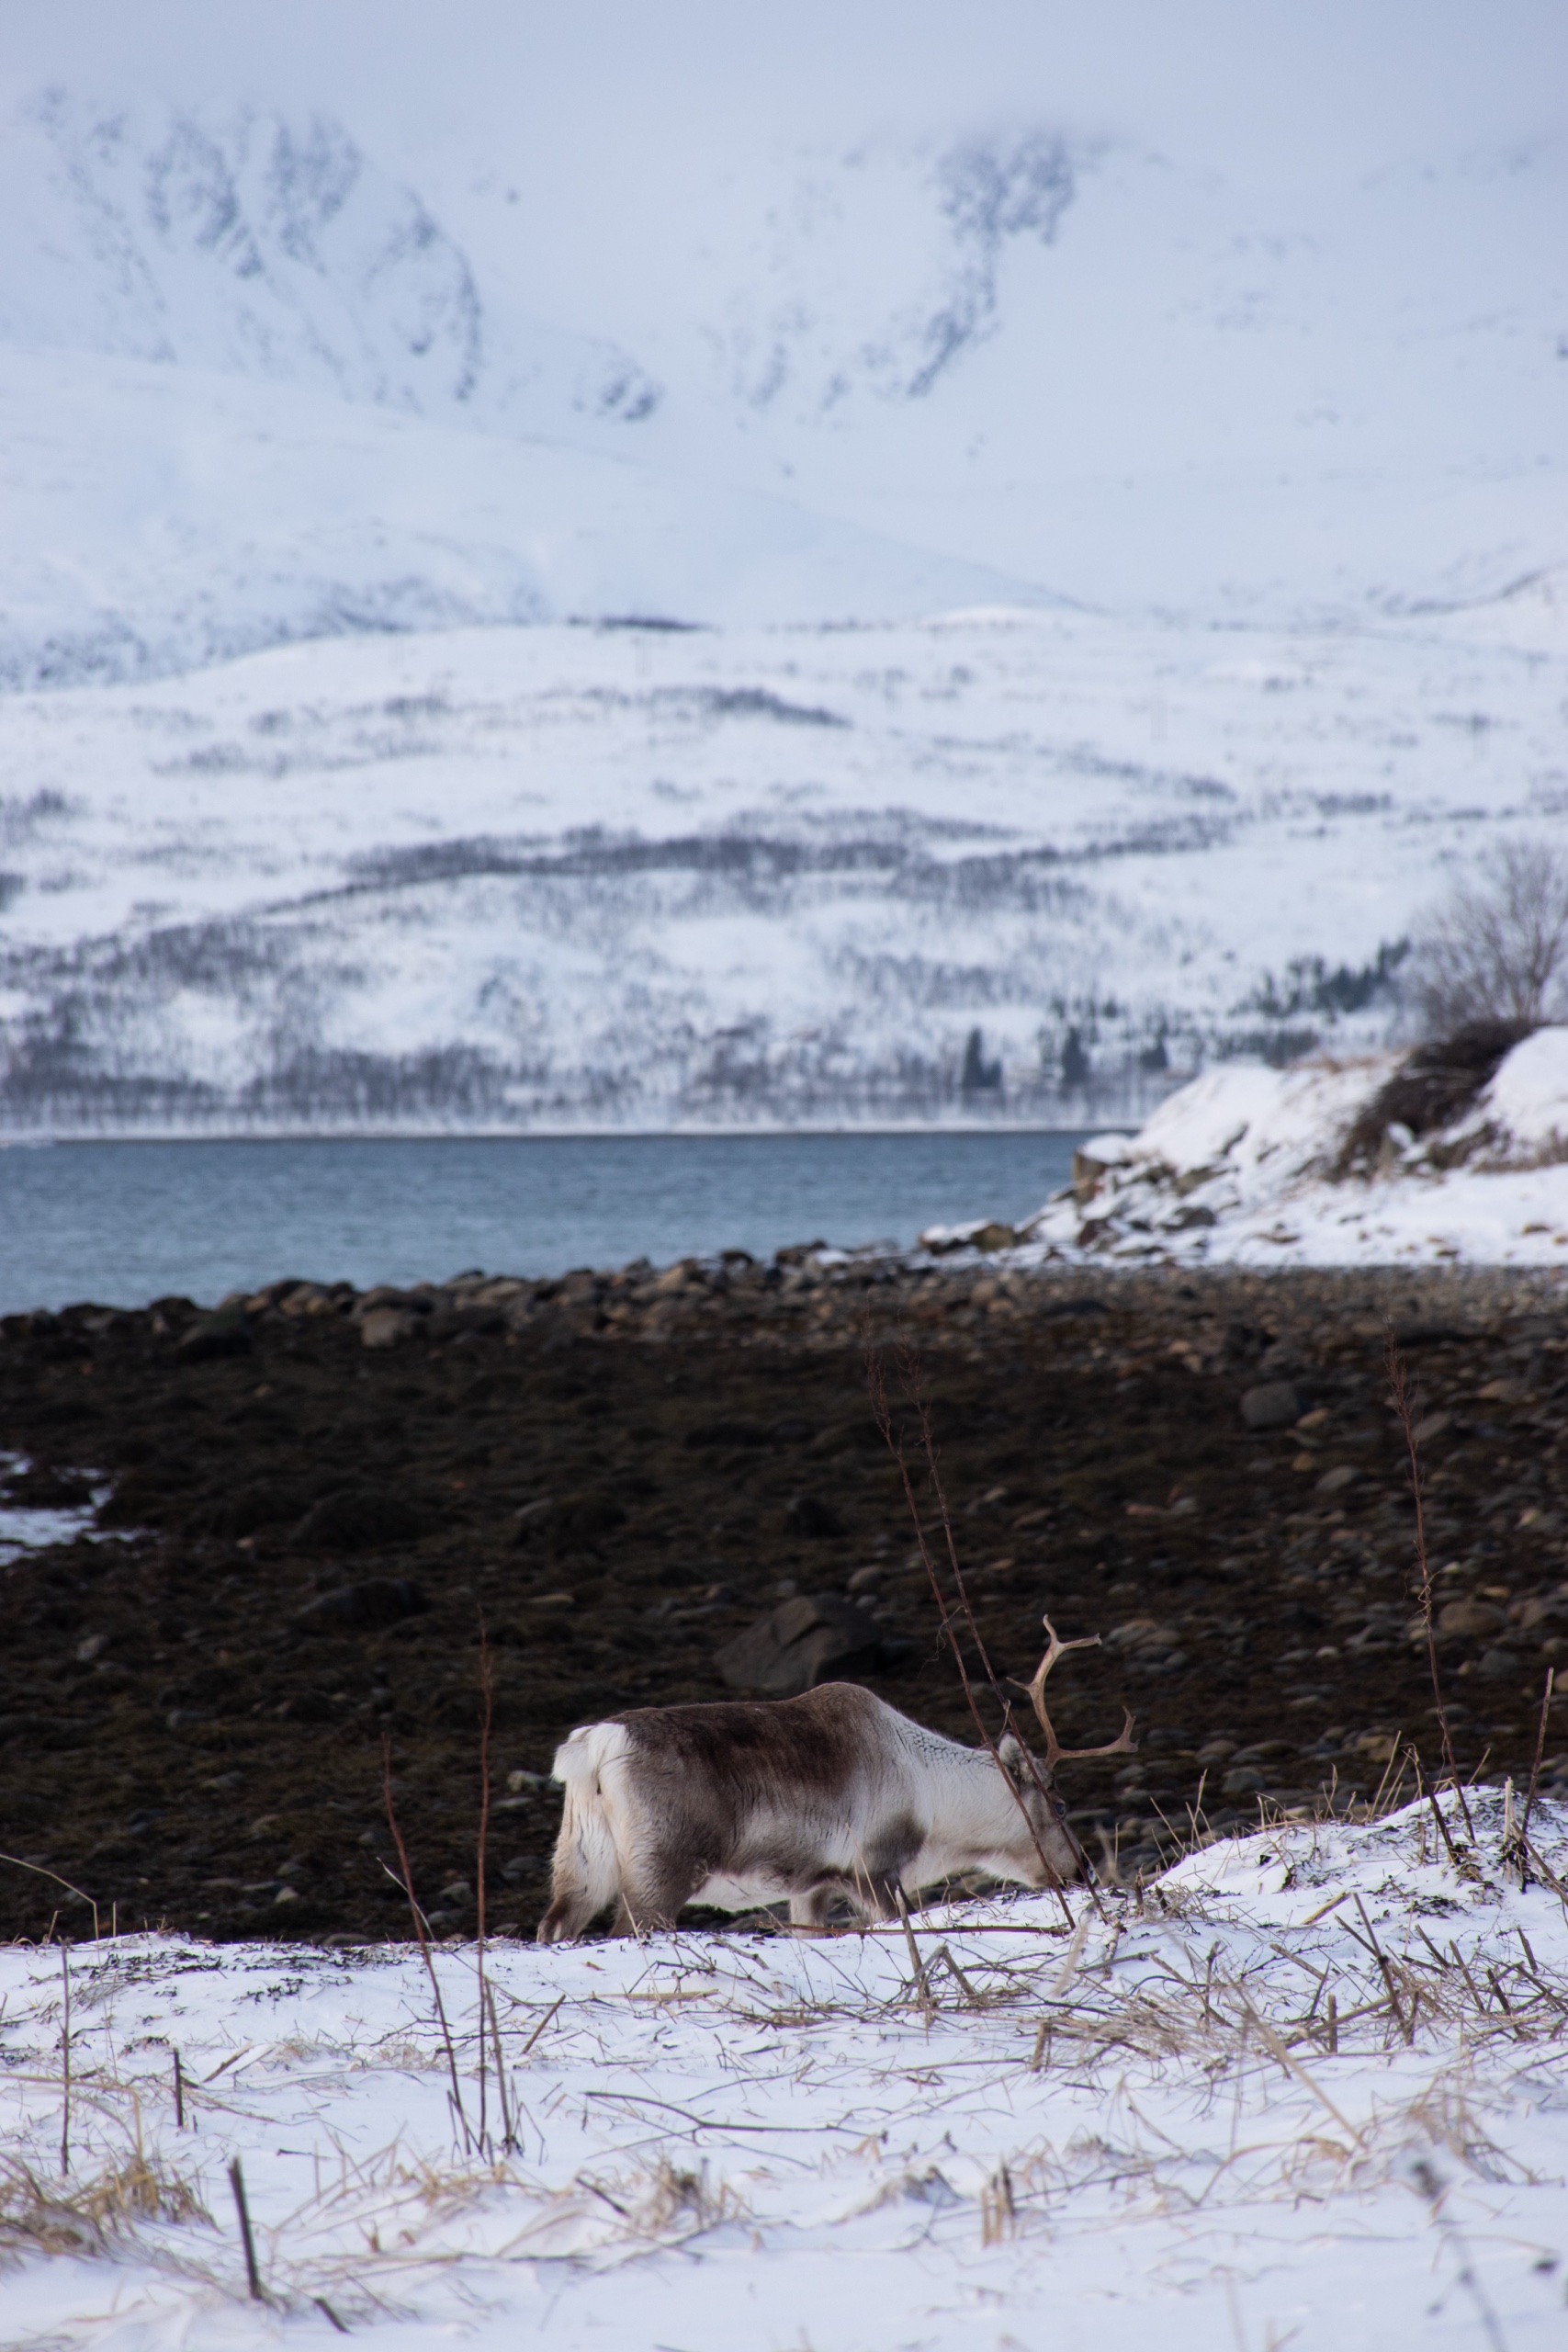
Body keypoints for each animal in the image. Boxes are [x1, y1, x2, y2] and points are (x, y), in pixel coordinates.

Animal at [537, 1618, 1133, 1940]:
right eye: (1059, 1805)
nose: (1082, 1870)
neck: (933, 1800)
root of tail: (594, 1745)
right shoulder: (874, 1869)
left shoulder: (812, 1885)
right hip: (662, 1867)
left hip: (581, 1859)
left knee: (554, 1926)